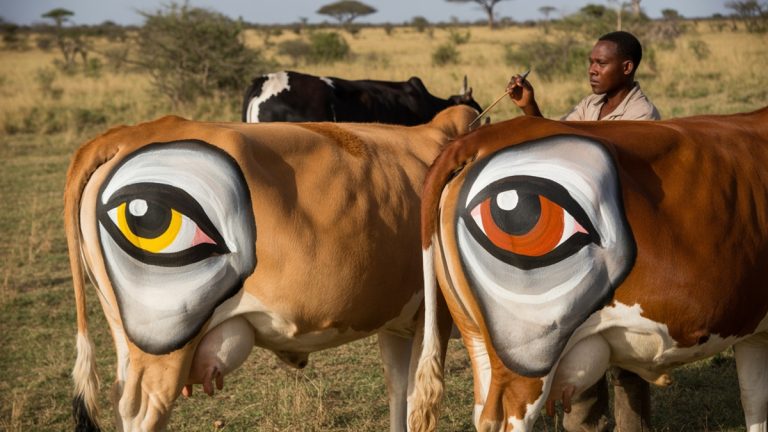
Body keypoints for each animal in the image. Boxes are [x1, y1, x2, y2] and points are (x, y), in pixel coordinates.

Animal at [64, 105, 476, 431]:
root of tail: (128, 134)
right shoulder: (434, 320)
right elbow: (420, 404)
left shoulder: (398, 321)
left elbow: (398, 394)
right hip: (161, 351)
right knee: (140, 411)